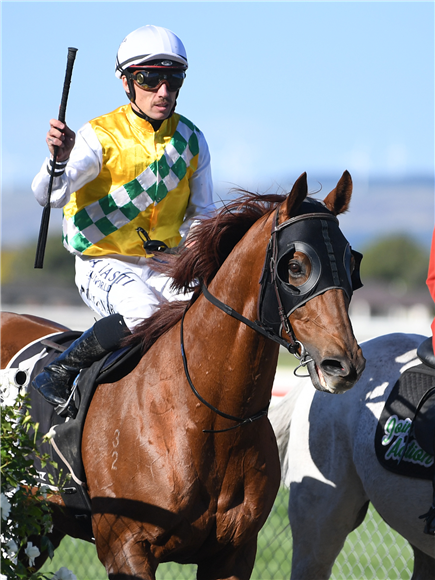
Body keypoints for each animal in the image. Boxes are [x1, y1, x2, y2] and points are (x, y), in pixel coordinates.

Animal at [1, 172, 366, 580]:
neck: (205, 418)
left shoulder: (233, 554)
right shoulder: (125, 548)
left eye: (350, 262)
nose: (343, 364)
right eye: (296, 266)